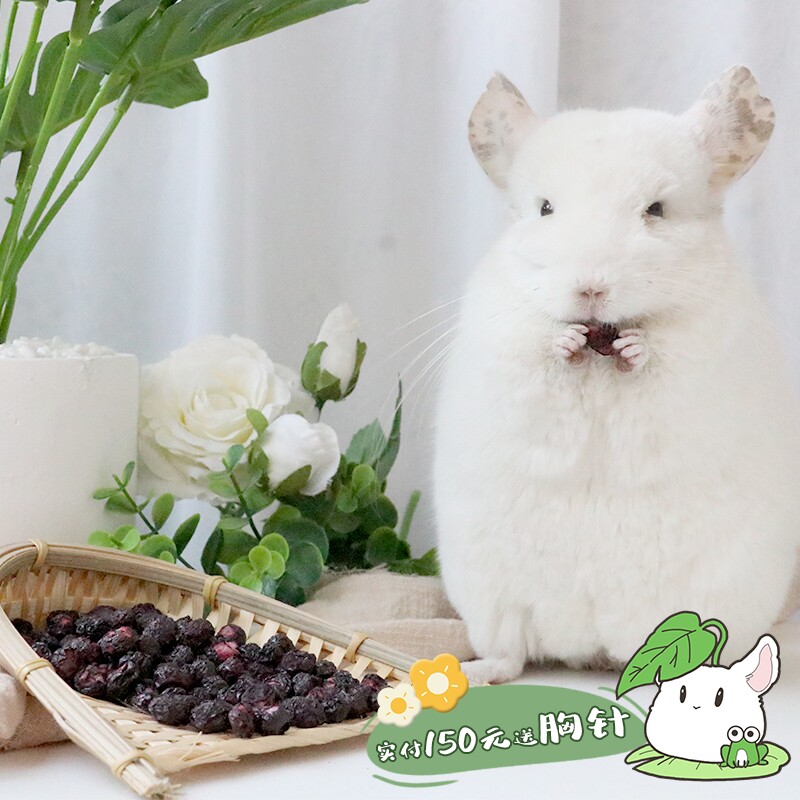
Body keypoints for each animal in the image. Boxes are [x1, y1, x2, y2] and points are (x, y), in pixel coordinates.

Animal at [433, 67, 800, 684]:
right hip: (492, 599)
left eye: (656, 209)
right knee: (510, 653)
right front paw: (565, 340)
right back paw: (479, 672)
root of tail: (591, 650)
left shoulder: (702, 339)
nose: (591, 288)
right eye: (545, 208)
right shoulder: (503, 330)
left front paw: (632, 346)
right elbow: (537, 347)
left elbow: (662, 351)